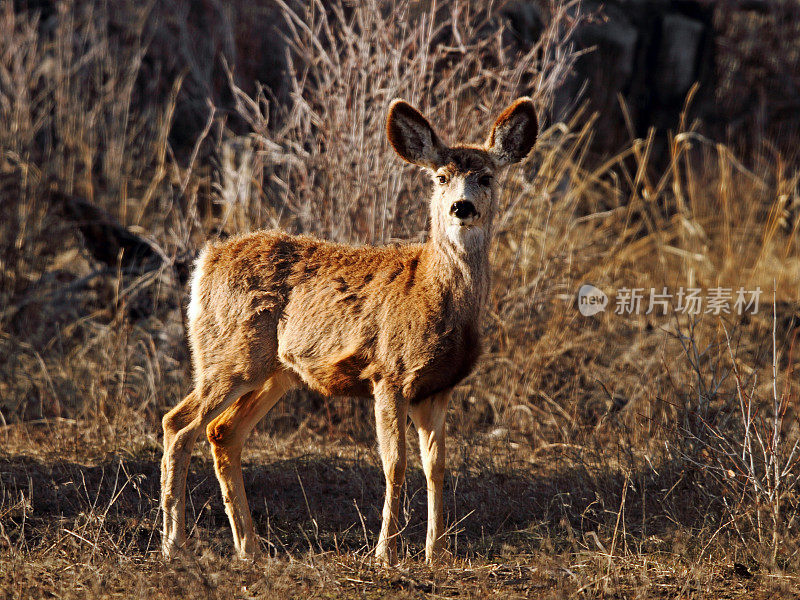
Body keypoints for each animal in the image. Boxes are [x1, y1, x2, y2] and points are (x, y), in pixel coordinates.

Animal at [159, 96, 536, 564]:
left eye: (486, 177)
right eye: (441, 177)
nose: (461, 207)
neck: (432, 293)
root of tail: (204, 262)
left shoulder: (437, 387)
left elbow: (438, 466)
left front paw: (437, 554)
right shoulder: (388, 373)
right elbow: (395, 463)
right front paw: (386, 554)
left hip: (276, 372)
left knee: (222, 432)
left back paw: (250, 549)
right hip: (229, 355)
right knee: (178, 423)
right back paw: (174, 545)